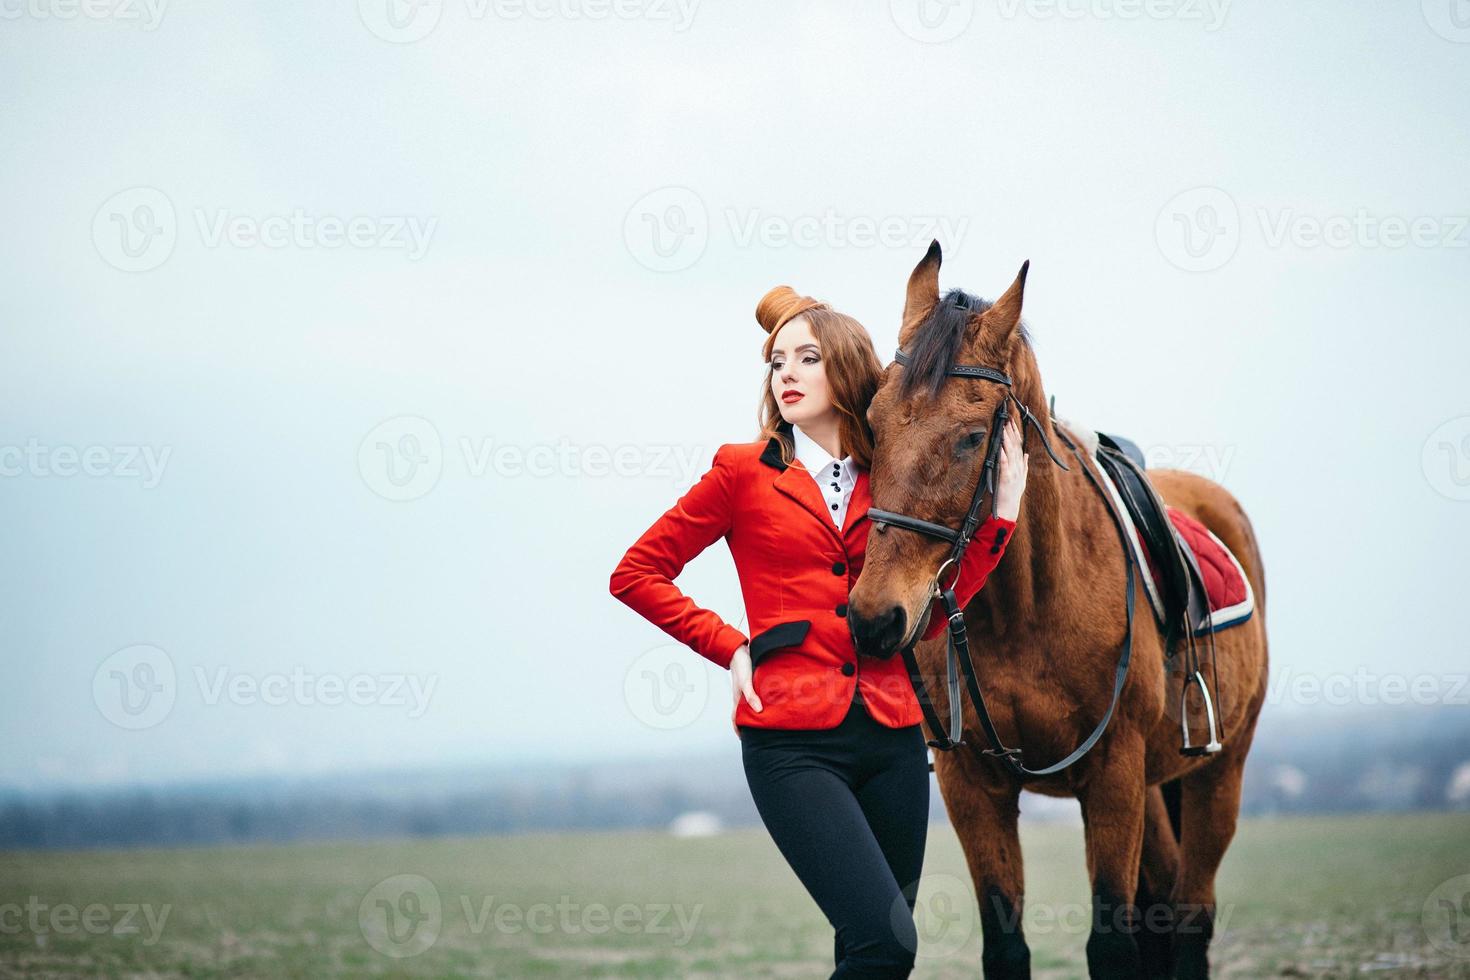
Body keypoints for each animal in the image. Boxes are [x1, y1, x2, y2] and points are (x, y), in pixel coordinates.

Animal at [846, 239, 1270, 980]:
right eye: (872, 424)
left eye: (970, 437)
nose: (876, 616)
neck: (1023, 613)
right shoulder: (970, 784)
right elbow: (1006, 943)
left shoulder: (1114, 777)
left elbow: (1112, 941)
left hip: (1220, 773)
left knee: (1190, 914)